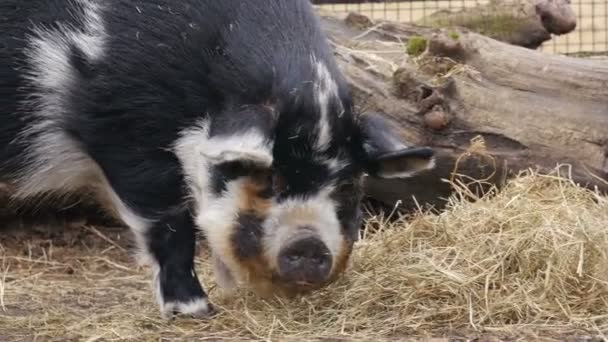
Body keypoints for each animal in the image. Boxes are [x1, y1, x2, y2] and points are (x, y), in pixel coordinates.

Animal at [1, 0, 436, 318]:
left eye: (347, 186)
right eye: (269, 178)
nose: (309, 243)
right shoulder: (123, 128)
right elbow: (169, 224)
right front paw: (196, 311)